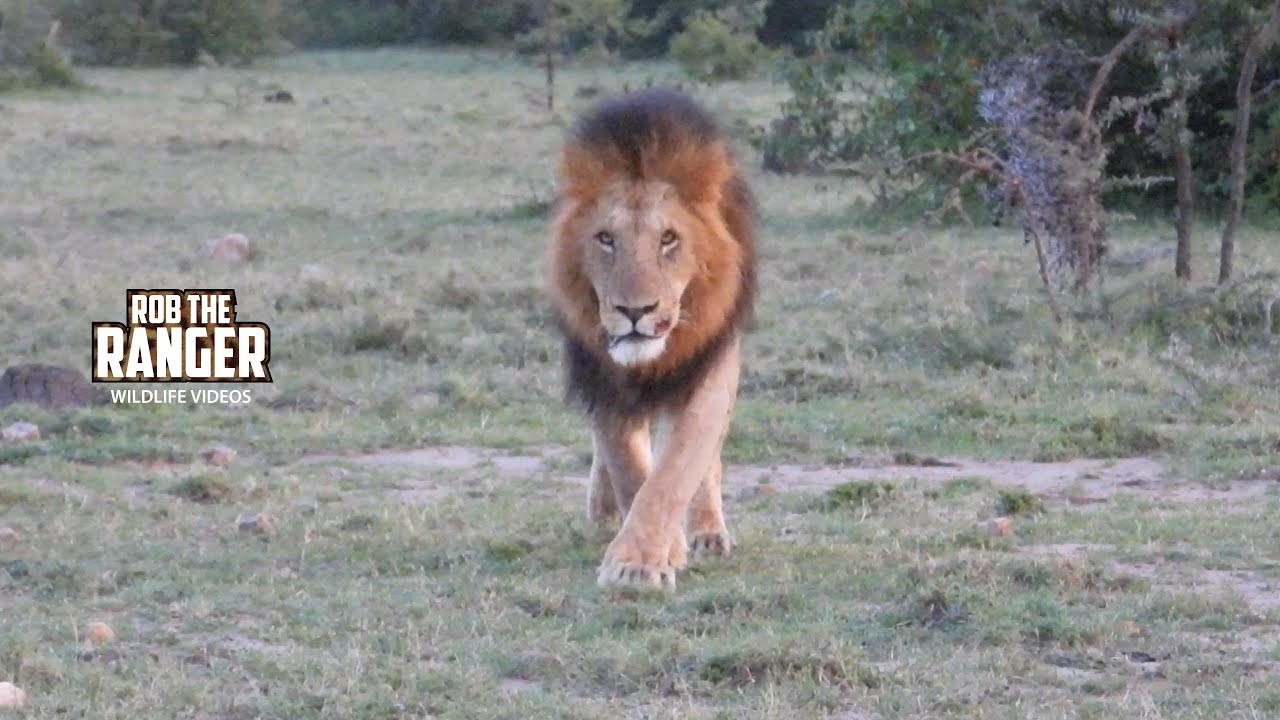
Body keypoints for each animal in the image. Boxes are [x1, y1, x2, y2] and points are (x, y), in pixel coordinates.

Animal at [548, 89, 757, 588]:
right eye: (605, 239)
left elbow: (676, 470)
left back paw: (708, 532)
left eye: (668, 239)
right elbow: (629, 467)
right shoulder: (600, 376)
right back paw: (604, 510)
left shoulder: (709, 368)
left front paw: (641, 563)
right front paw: (649, 553)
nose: (635, 311)